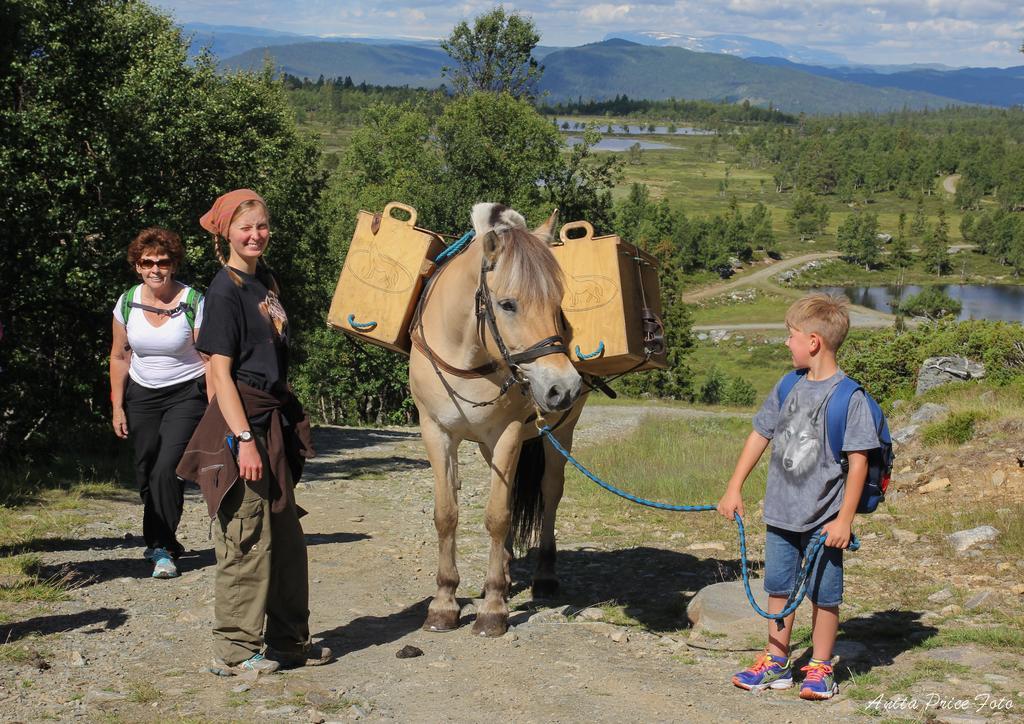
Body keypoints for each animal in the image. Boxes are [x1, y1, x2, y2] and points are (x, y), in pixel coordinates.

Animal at [405, 200, 585, 639]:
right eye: (507, 304)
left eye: (559, 304)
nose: (564, 388)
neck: (468, 357)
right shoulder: (436, 432)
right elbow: (446, 514)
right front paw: (444, 602)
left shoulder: (507, 434)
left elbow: (498, 517)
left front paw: (493, 608)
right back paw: (501, 571)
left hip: (561, 434)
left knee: (550, 493)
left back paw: (543, 576)